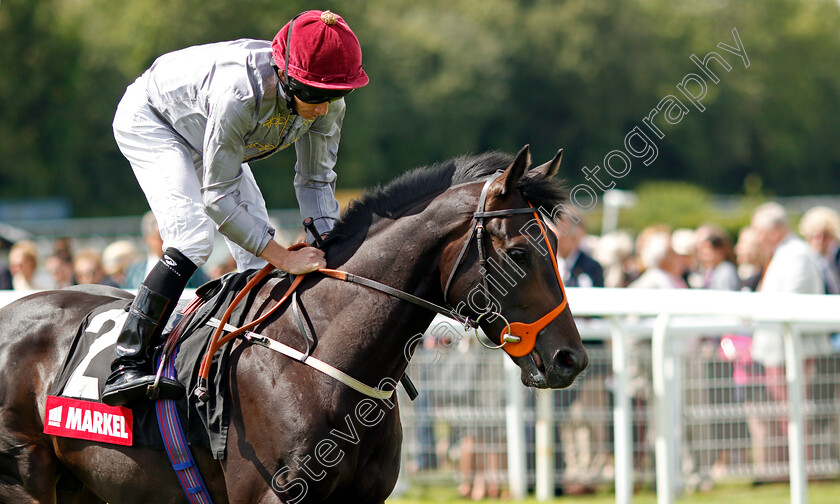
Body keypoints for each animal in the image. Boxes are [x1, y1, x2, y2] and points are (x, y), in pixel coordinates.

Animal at [0, 144, 588, 502]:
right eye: (519, 252)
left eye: (557, 246)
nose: (571, 359)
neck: (322, 361)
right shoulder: (268, 494)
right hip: (25, 478)